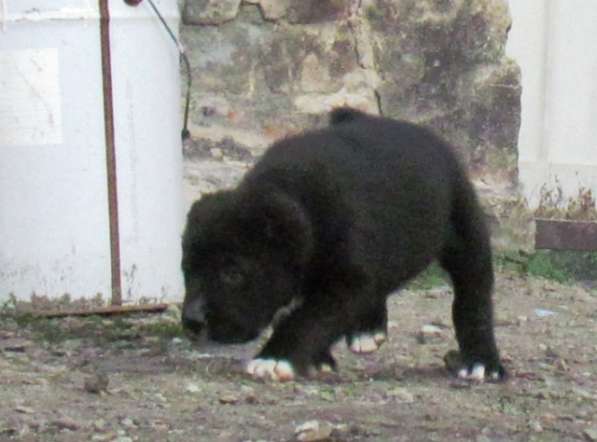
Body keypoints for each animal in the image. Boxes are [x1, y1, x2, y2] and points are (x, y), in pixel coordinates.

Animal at [180, 107, 502, 380]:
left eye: (233, 274)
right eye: (186, 271)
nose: (192, 321)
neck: (299, 199)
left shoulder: (345, 282)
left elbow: (308, 318)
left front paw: (276, 357)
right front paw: (317, 358)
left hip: (465, 229)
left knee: (473, 295)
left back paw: (482, 361)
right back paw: (367, 329)